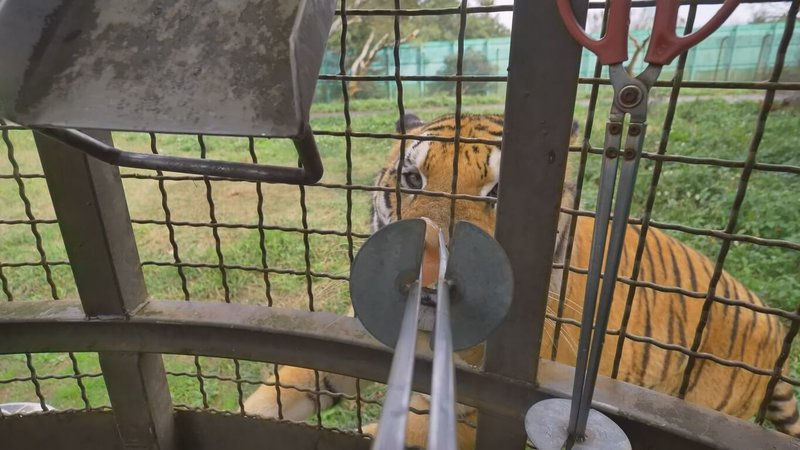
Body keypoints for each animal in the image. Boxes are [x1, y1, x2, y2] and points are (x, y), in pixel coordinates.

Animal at [245, 113, 800, 446]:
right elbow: (290, 379)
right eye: (412, 179)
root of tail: (773, 320)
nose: (427, 264)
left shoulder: (469, 413)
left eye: (497, 194)